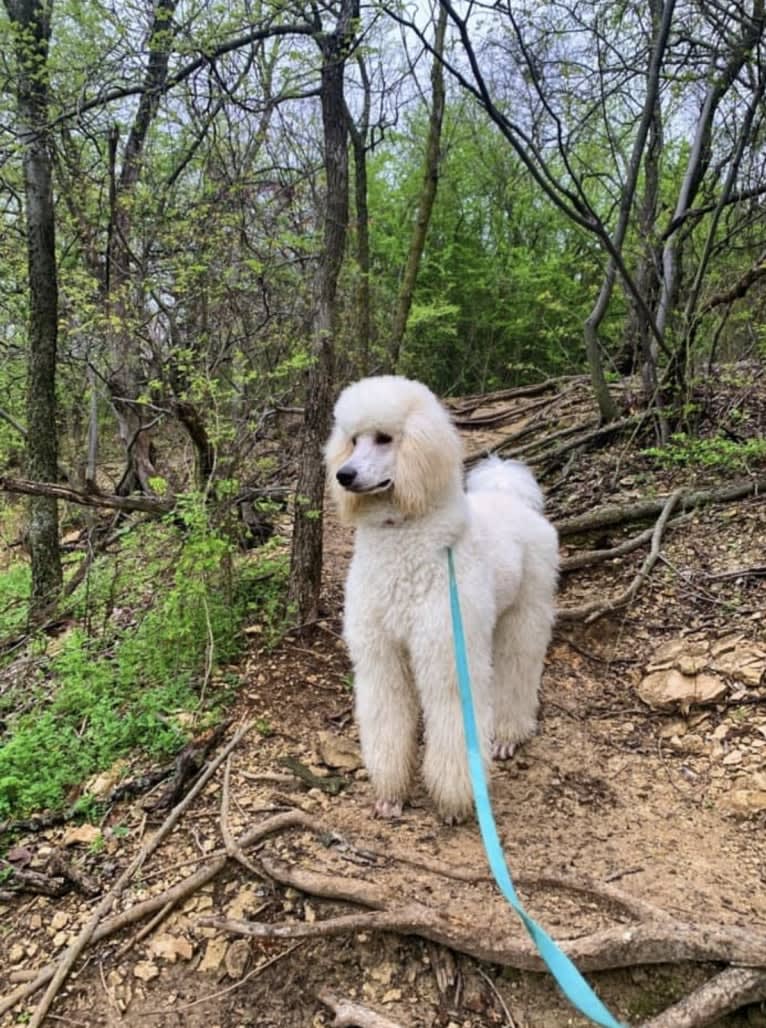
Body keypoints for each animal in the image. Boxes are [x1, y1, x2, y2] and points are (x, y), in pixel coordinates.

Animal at [322, 376, 555, 818]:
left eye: (385, 438)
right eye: (353, 440)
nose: (344, 475)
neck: (402, 539)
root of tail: (509, 496)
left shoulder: (445, 653)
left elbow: (451, 720)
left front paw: (454, 801)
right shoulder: (380, 656)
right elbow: (387, 717)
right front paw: (391, 793)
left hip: (526, 611)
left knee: (519, 668)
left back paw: (507, 735)